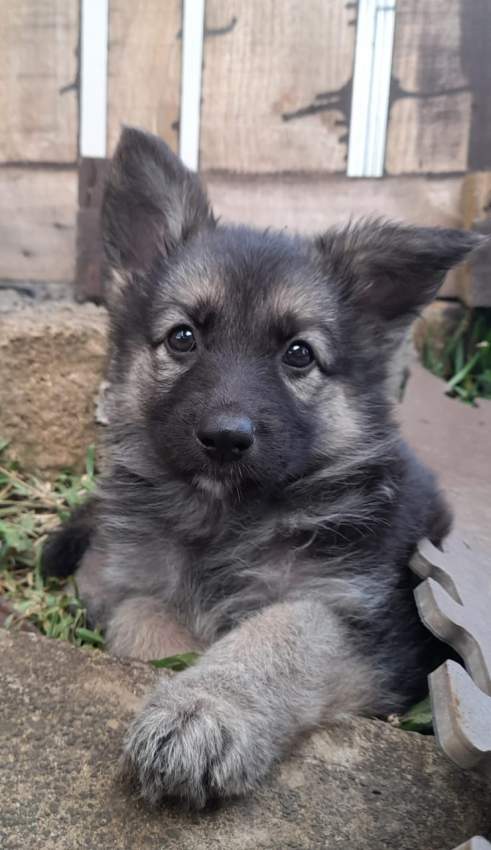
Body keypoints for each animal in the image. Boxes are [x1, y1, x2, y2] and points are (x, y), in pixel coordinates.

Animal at [42, 129, 480, 804]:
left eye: (298, 354)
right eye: (183, 337)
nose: (226, 439)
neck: (225, 518)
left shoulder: (364, 628)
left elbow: (284, 630)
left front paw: (203, 709)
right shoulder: (113, 580)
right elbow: (143, 621)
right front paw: (177, 663)